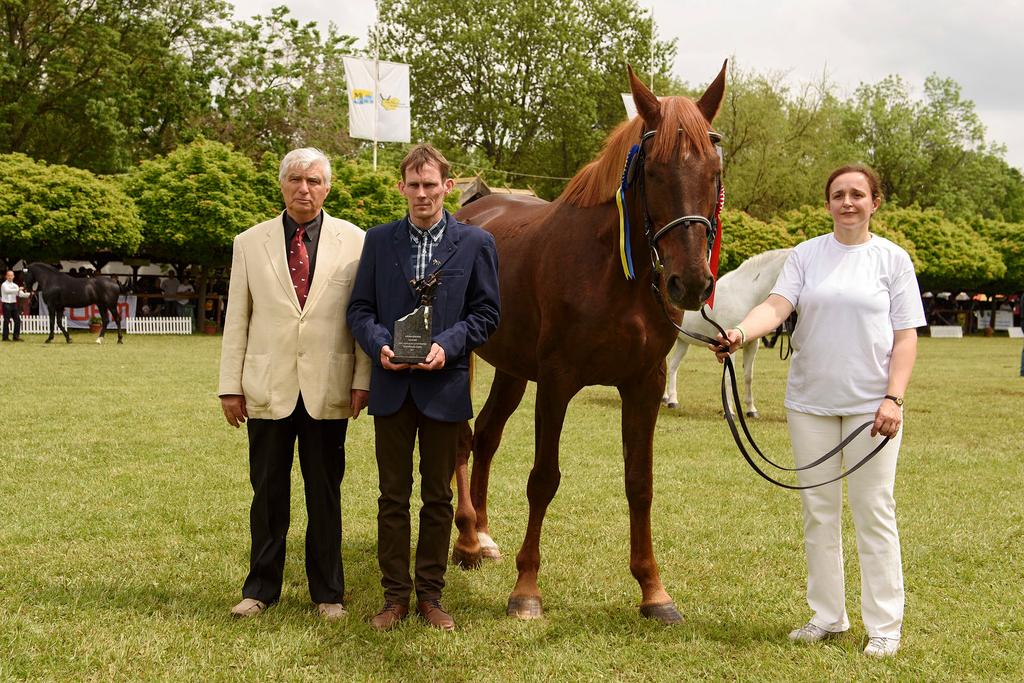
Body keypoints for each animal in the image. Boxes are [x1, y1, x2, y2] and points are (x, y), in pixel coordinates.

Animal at [450, 63, 729, 626]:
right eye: (654, 171)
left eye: (714, 169)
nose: (689, 283)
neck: (615, 271)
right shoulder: (557, 381)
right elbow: (543, 479)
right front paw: (526, 590)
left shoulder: (645, 384)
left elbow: (639, 483)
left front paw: (654, 591)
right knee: (463, 439)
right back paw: (466, 540)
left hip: (512, 369)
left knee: (486, 435)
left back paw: (483, 537)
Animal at [659, 246, 794, 417]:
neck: (745, 295)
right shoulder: (729, 346)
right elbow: (730, 377)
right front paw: (729, 411)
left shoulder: (752, 345)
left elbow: (748, 377)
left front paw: (751, 410)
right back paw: (664, 398)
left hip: (683, 342)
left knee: (673, 366)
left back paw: (672, 401)